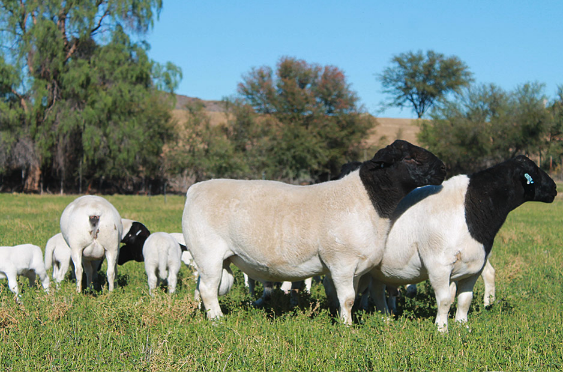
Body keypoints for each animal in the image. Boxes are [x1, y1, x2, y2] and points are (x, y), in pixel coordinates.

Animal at [183, 141, 448, 324]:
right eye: (411, 158)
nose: (444, 169)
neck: (367, 201)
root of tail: (194, 189)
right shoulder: (341, 261)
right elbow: (348, 298)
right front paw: (347, 328)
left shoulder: (353, 267)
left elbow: (349, 297)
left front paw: (344, 319)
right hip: (207, 252)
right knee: (208, 290)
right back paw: (217, 321)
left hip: (212, 258)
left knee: (202, 287)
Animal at [366, 155, 556, 332]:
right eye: (533, 170)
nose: (554, 188)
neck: (470, 209)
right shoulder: (438, 265)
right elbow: (444, 300)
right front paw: (442, 329)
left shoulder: (474, 266)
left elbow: (464, 300)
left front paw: (463, 327)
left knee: (377, 291)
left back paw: (385, 318)